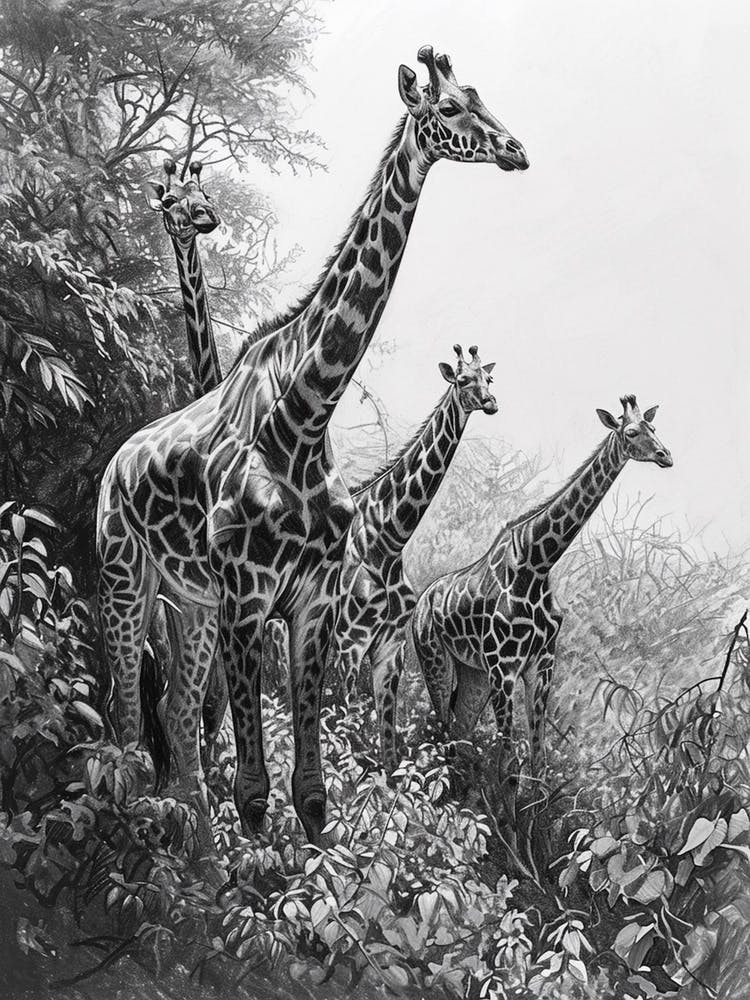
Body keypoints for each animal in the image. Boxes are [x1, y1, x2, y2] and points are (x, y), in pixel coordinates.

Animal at [97, 45, 529, 845]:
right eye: (449, 108)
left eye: (481, 96)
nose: (516, 150)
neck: (303, 415)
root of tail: (112, 467)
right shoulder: (247, 597)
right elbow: (255, 793)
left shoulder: (312, 602)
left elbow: (312, 794)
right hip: (125, 580)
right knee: (123, 715)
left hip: (189, 603)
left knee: (174, 710)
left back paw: (187, 835)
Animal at [411, 395, 672, 826]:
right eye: (632, 432)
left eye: (654, 428)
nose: (666, 456)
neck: (538, 562)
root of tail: (421, 602)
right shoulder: (504, 668)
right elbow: (509, 767)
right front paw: (508, 837)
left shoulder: (541, 663)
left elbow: (538, 763)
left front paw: (534, 833)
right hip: (437, 661)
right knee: (442, 732)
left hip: (473, 674)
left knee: (461, 734)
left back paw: (463, 806)